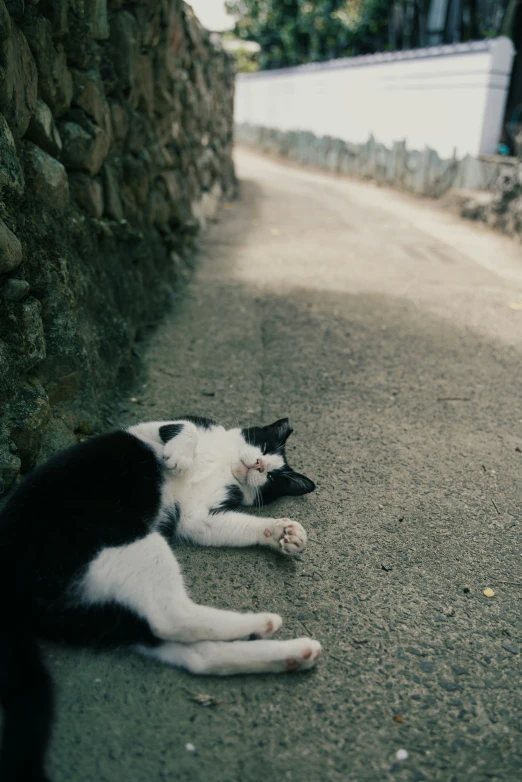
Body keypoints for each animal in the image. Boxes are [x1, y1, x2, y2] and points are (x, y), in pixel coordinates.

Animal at [0, 414, 318, 780]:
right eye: (264, 447)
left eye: (273, 477)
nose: (258, 464)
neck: (224, 465)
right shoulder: (152, 430)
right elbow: (183, 428)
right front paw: (179, 458)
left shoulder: (199, 519)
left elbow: (237, 525)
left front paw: (282, 532)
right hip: (123, 539)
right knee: (172, 621)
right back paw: (267, 627)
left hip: (113, 590)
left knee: (184, 638)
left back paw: (287, 645)